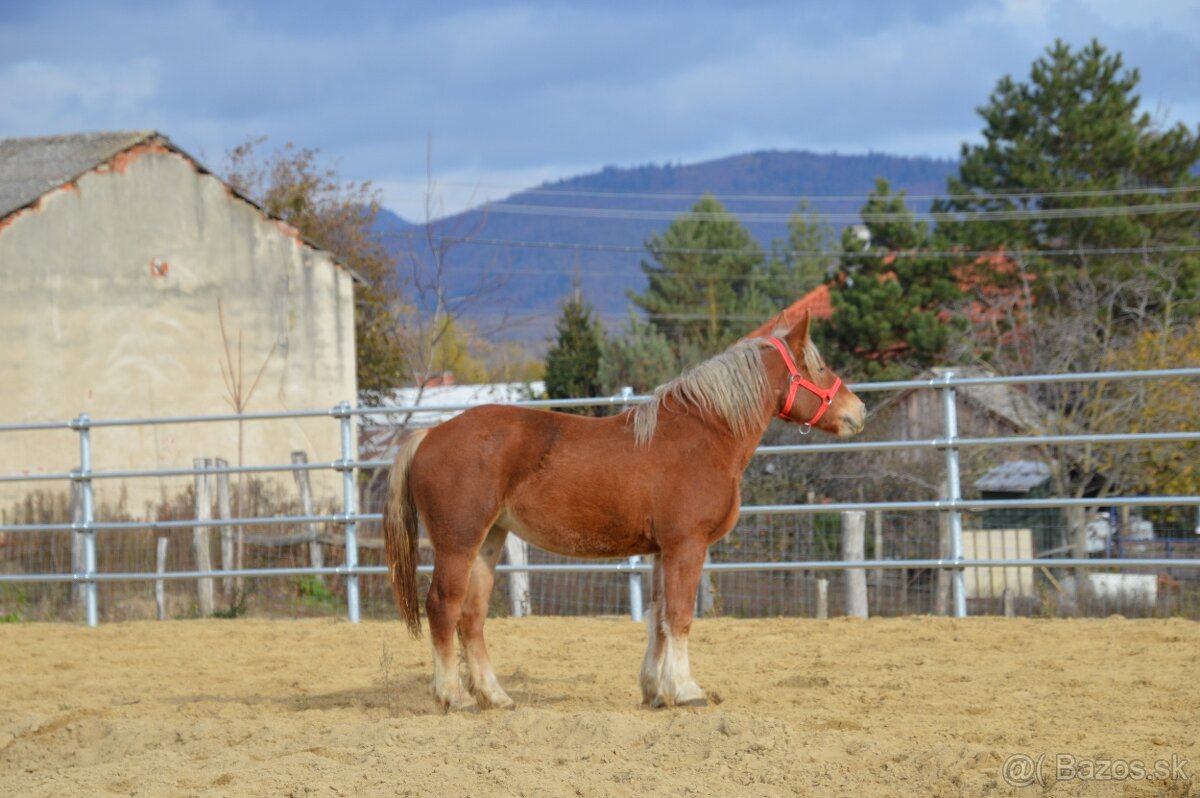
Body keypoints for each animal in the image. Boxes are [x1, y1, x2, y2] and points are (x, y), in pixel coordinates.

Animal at [384, 312, 864, 710]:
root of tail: (429, 436)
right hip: (458, 544)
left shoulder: (661, 551)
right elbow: (680, 616)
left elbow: (657, 618)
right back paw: (454, 696)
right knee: (442, 607)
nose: (857, 411)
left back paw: (495, 696)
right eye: (819, 366)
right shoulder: (686, 545)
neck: (703, 434)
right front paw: (686, 690)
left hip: (489, 541)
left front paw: (656, 691)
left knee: (472, 617)